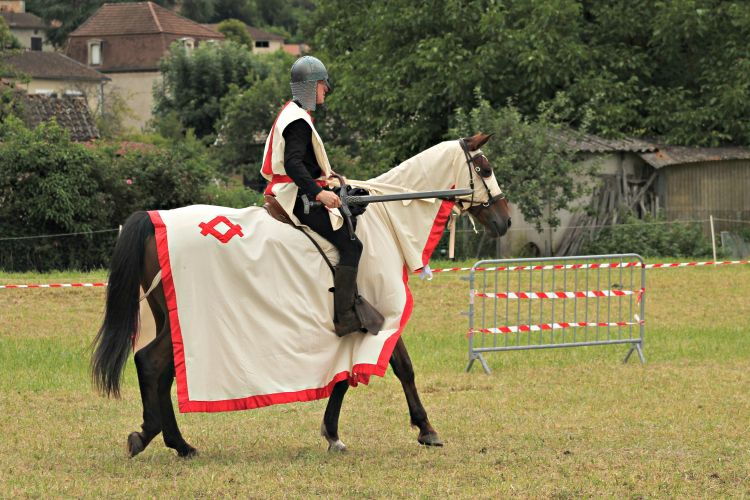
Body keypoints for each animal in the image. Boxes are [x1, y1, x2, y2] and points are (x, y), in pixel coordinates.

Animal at [89, 132, 512, 458]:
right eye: (485, 168)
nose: (505, 220)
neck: (384, 217)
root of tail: (150, 219)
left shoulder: (356, 327)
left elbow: (342, 377)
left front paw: (333, 434)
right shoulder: (383, 314)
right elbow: (402, 367)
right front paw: (426, 429)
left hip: (172, 319)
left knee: (161, 371)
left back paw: (172, 442)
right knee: (149, 362)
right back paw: (159, 438)